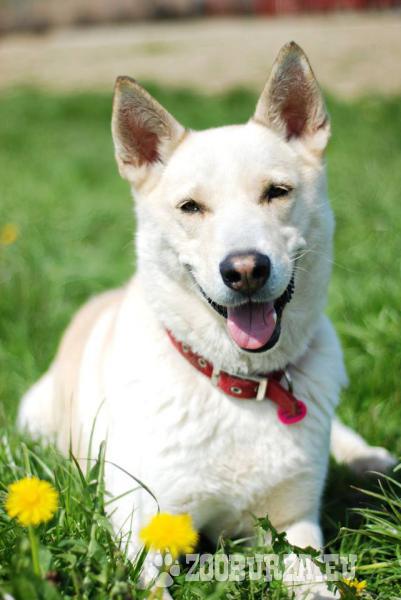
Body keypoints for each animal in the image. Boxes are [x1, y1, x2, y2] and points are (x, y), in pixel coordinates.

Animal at [18, 42, 394, 598]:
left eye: (277, 192)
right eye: (190, 207)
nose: (245, 270)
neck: (238, 383)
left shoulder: (295, 523)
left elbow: (313, 579)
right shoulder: (146, 529)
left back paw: (369, 458)